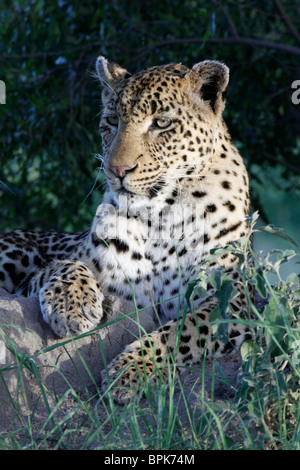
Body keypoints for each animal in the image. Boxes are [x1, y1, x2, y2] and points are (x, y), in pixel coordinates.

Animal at [0, 57, 253, 404]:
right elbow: (64, 264)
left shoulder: (235, 297)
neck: (162, 216)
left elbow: (184, 331)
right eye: (111, 120)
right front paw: (71, 305)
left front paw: (130, 370)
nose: (117, 170)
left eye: (162, 123)